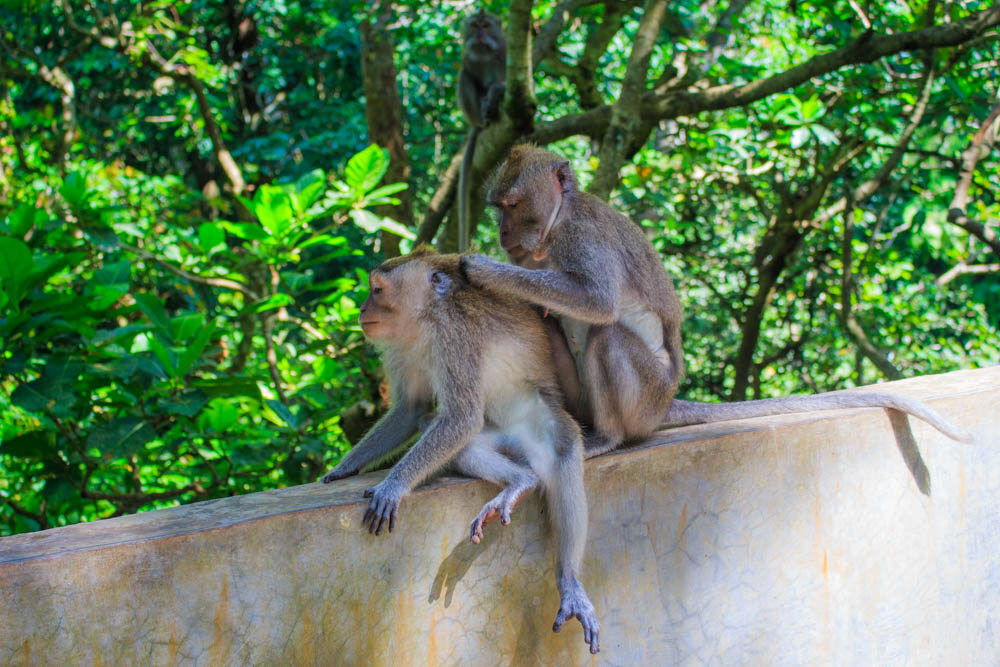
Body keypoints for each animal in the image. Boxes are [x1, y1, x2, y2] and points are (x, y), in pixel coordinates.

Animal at [322, 248, 600, 656]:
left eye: (378, 289)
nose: (361, 309)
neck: (427, 320)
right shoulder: (404, 346)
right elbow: (413, 410)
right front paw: (345, 467)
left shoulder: (456, 335)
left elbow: (461, 416)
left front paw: (393, 486)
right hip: (496, 436)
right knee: (459, 442)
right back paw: (520, 480)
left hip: (538, 415)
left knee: (562, 453)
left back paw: (568, 579)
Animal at [458, 145, 968, 460]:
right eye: (497, 208)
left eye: (513, 205)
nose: (502, 232)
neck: (557, 224)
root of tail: (665, 405)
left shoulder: (582, 235)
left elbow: (598, 302)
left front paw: (485, 270)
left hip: (647, 396)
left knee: (608, 338)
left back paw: (609, 437)